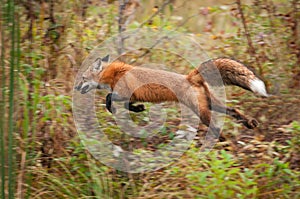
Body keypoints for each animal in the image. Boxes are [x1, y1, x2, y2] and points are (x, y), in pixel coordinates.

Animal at [75, 54, 268, 138]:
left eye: (83, 78)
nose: (76, 88)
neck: (114, 73)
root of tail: (190, 76)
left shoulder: (122, 93)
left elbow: (108, 100)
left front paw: (131, 109)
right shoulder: (130, 97)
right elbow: (127, 105)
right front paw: (139, 109)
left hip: (201, 111)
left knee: (215, 128)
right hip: (211, 104)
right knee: (233, 110)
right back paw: (250, 123)